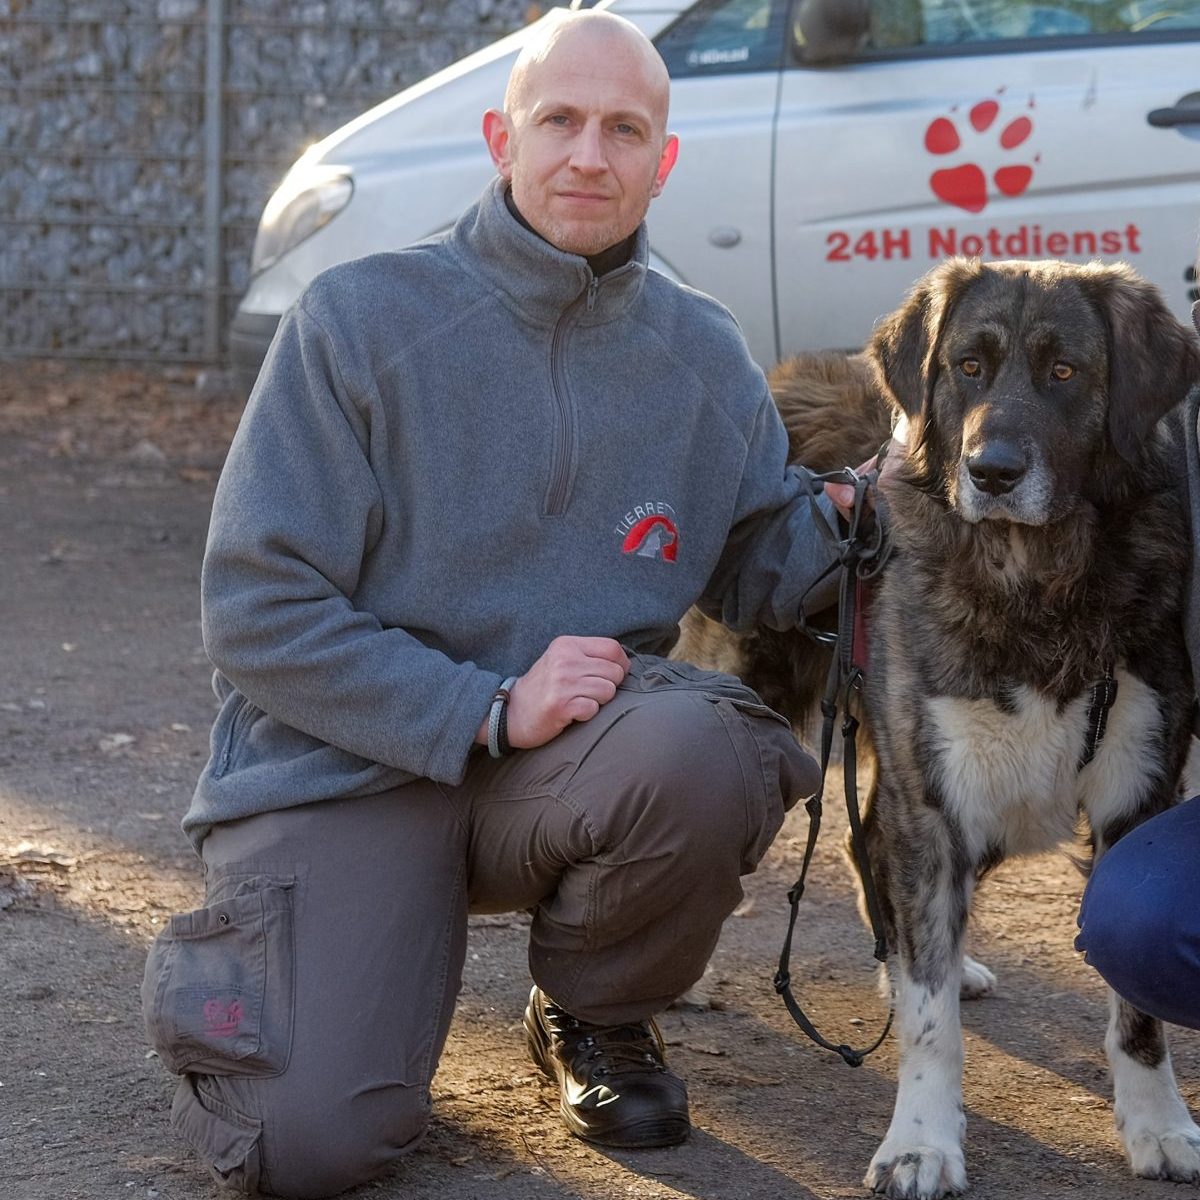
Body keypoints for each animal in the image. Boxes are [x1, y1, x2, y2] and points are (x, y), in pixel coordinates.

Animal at [686, 262, 1200, 1200]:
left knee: (866, 846)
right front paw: (920, 1141)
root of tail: (781, 375)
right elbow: (933, 1029)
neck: (1033, 580)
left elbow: (1138, 1013)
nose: (990, 471)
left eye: (1064, 371)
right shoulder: (934, 797)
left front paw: (1159, 1124)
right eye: (967, 367)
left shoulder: (1134, 795)